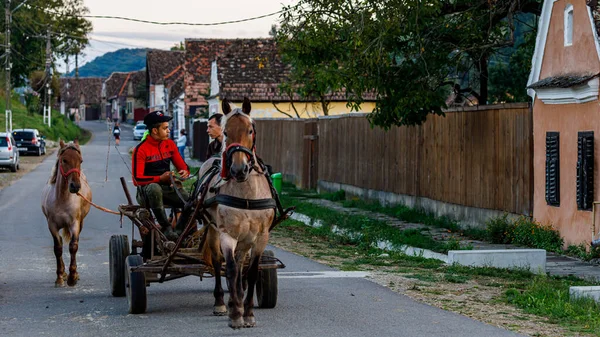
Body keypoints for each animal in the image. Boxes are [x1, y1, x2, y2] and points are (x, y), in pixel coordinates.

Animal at [41, 140, 92, 286]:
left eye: (80, 160)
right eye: (64, 160)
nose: (75, 186)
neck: (62, 198)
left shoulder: (74, 224)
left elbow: (73, 246)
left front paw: (73, 277)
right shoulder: (52, 225)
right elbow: (58, 248)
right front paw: (60, 276)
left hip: (80, 223)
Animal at [202, 98, 276, 328]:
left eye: (250, 130)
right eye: (226, 132)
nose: (238, 170)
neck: (247, 195)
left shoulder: (261, 237)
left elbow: (250, 272)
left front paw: (248, 312)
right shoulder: (228, 234)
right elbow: (231, 269)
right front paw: (235, 314)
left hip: (246, 239)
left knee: (240, 262)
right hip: (212, 229)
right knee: (219, 261)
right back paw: (221, 302)